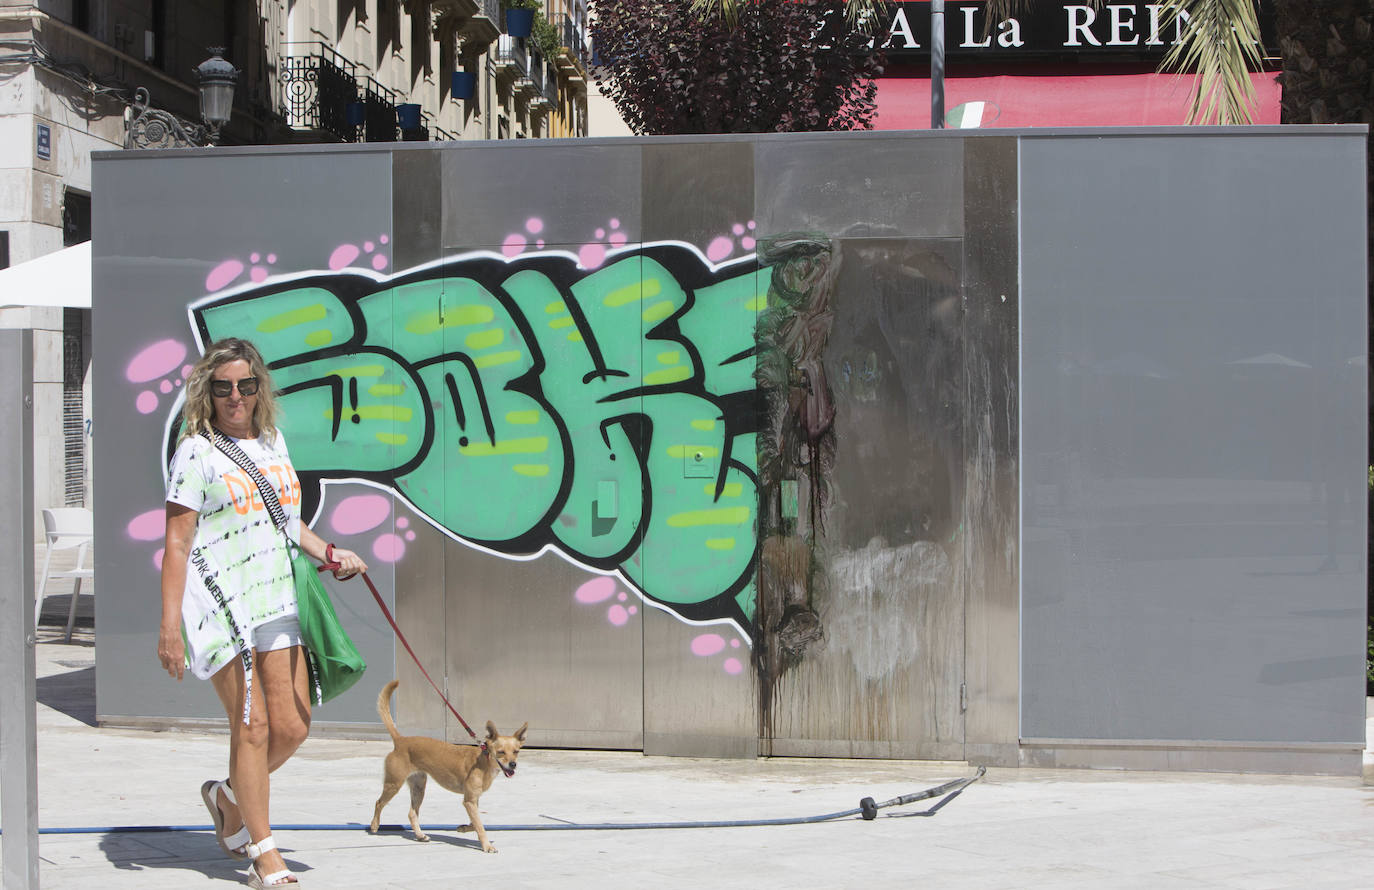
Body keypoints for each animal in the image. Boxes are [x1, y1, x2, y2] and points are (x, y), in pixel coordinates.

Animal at [368, 678, 527, 851]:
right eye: (501, 752)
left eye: (516, 751)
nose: (513, 764)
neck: (483, 762)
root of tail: (400, 740)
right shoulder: (469, 801)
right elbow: (480, 826)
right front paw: (486, 845)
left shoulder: (472, 800)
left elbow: (475, 823)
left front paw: (463, 828)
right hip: (393, 784)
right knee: (378, 803)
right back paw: (374, 826)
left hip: (418, 788)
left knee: (412, 813)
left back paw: (420, 835)